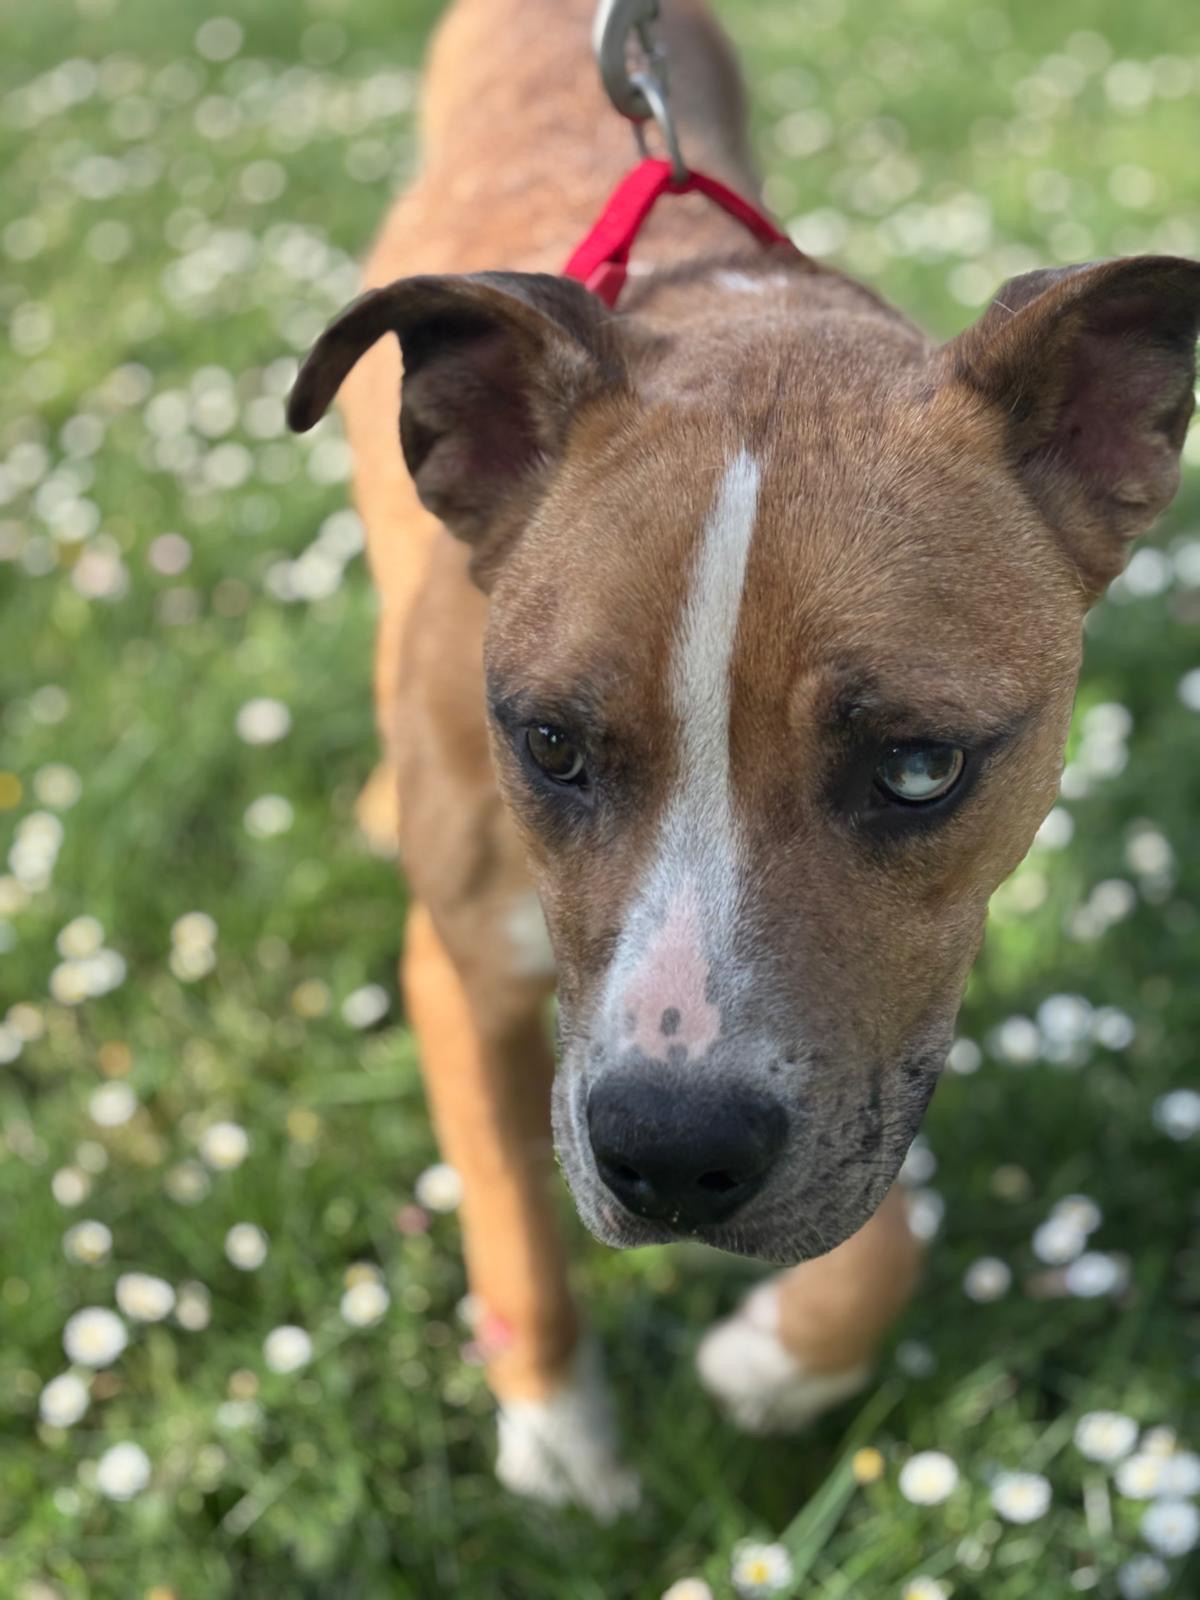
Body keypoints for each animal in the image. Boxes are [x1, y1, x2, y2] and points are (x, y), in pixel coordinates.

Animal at [287, 0, 1200, 1517]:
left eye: (918, 767)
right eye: (550, 744)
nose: (671, 1157)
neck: (727, 318)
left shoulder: (879, 1026)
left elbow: (880, 1202)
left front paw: (779, 1357)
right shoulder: (466, 970)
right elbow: (512, 1211)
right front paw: (561, 1437)